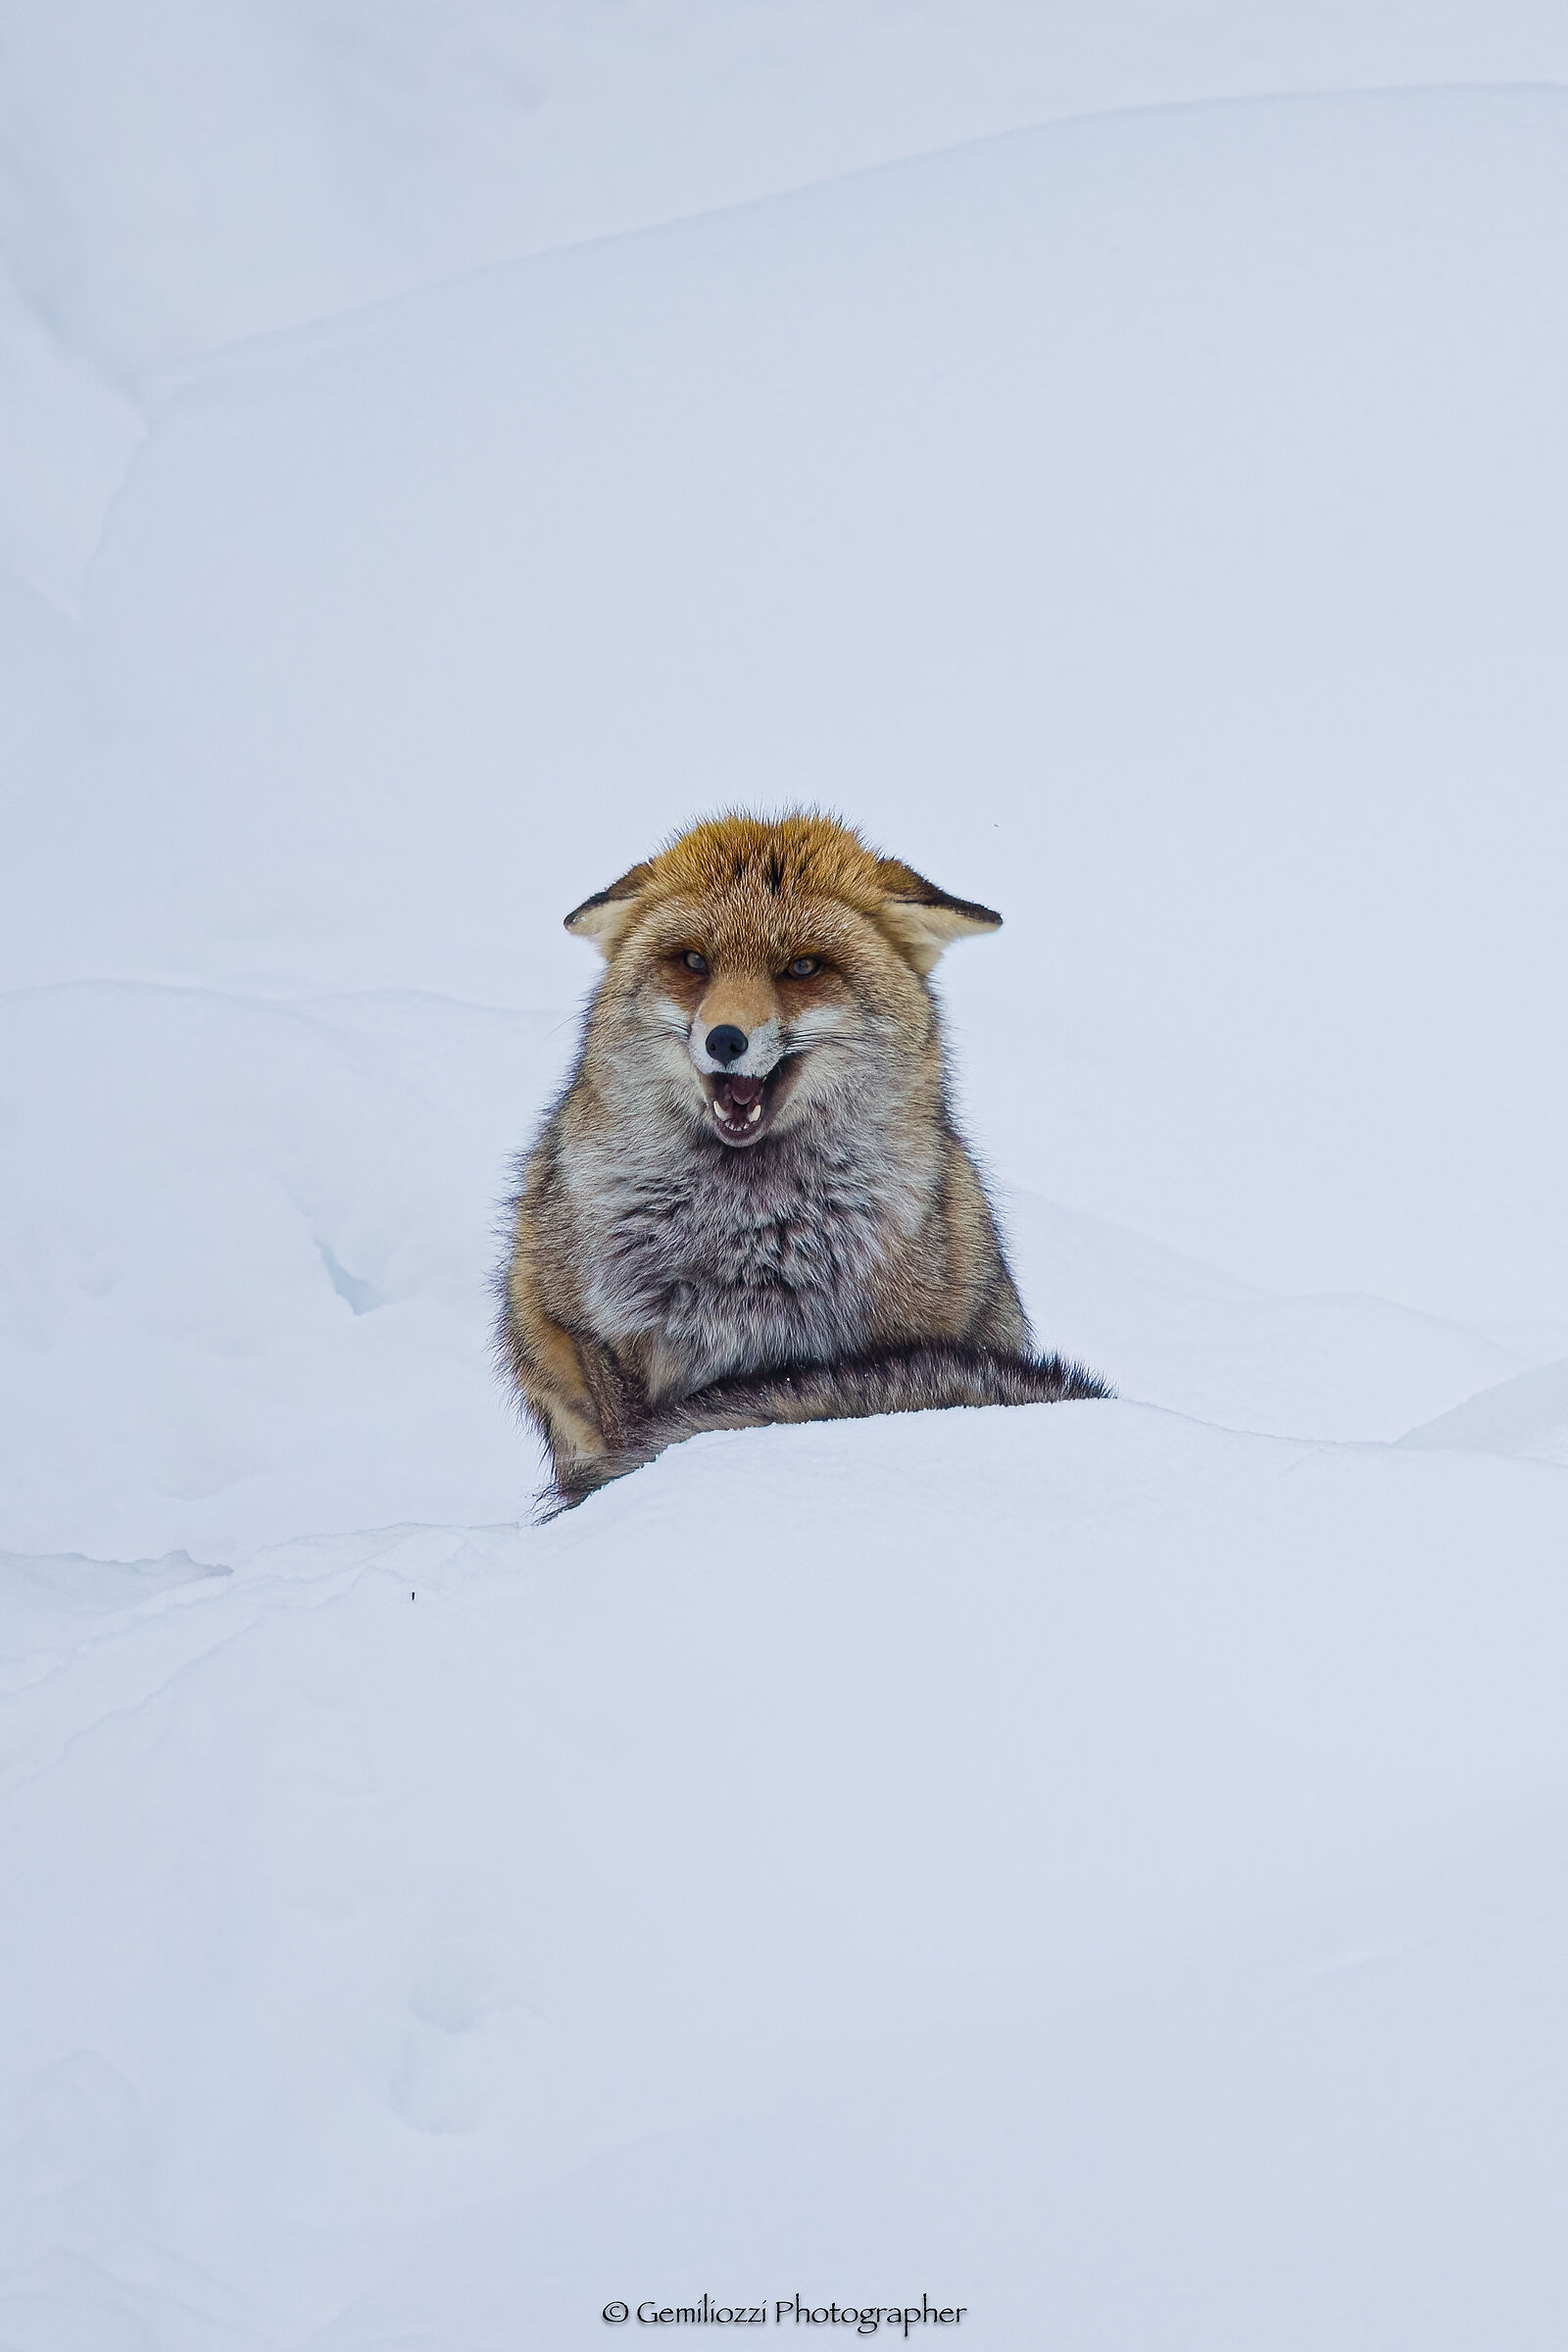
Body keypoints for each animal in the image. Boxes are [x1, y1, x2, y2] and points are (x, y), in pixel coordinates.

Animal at [497, 811, 1108, 1507]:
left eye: (803, 967)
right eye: (694, 962)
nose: (724, 1039)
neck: (744, 1239)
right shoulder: (593, 1329)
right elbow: (625, 1437)